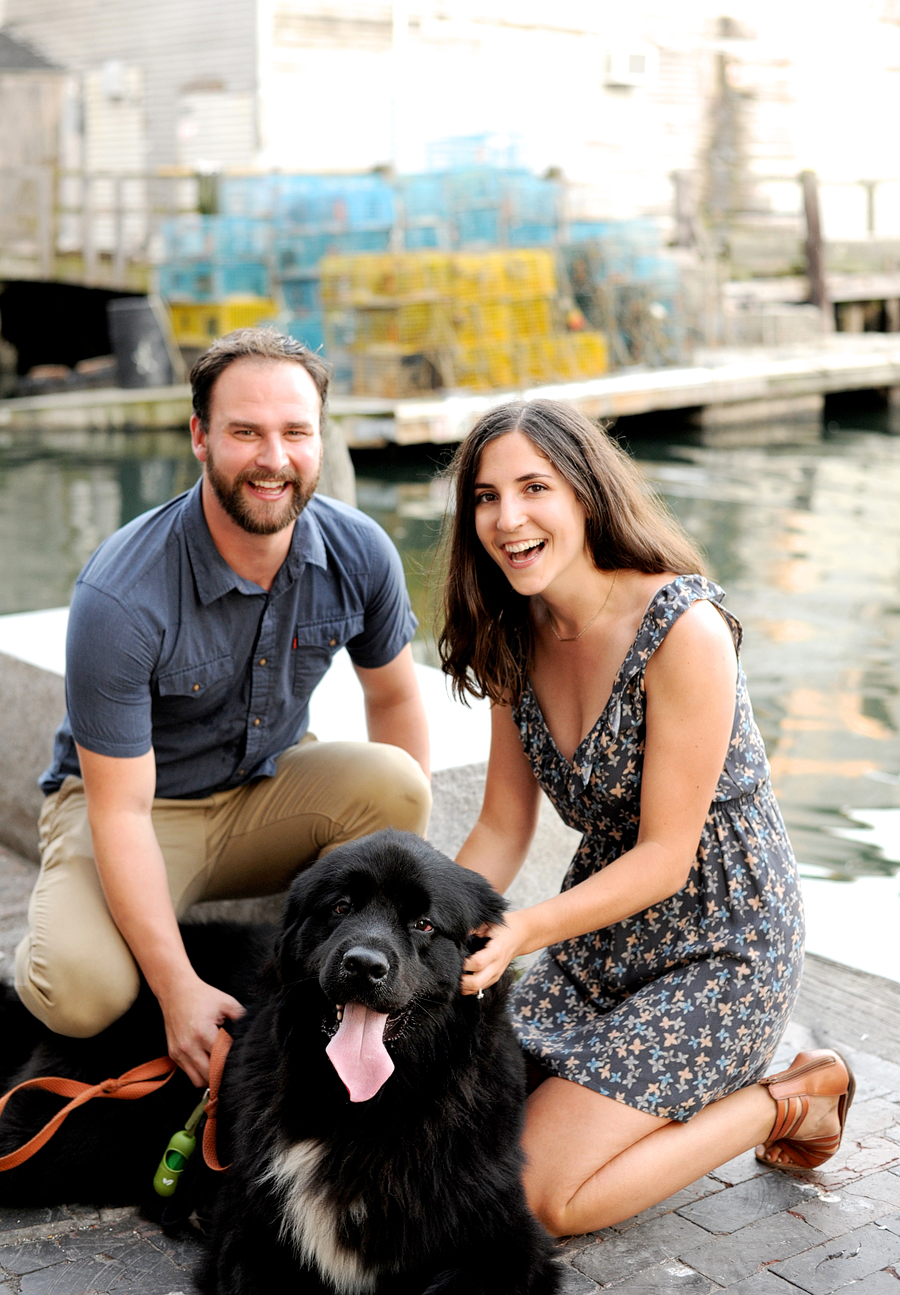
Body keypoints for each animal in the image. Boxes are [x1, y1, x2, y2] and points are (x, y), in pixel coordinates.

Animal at [1, 828, 564, 1295]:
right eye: (340, 907)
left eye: (424, 924)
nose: (364, 965)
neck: (362, 1113)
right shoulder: (254, 1233)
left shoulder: (504, 1240)